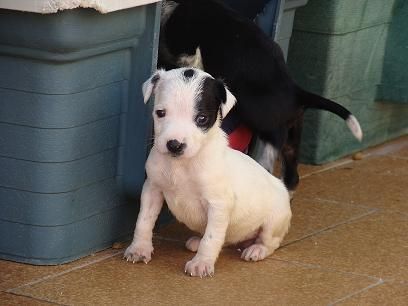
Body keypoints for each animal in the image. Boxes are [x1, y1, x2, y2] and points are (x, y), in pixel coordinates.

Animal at [122, 67, 292, 278]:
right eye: (160, 113)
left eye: (201, 118)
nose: (174, 145)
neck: (181, 165)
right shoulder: (152, 190)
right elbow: (144, 221)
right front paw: (139, 248)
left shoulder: (218, 205)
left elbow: (211, 238)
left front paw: (202, 263)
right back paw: (198, 240)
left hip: (274, 222)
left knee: (270, 242)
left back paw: (256, 249)